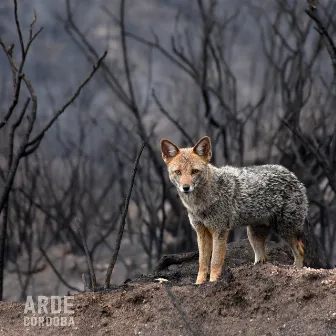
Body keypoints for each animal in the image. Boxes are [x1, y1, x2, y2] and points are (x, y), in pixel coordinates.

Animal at [160, 135, 328, 284]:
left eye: (194, 171)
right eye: (178, 172)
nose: (185, 188)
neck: (200, 204)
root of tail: (294, 176)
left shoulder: (220, 231)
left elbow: (215, 262)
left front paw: (213, 282)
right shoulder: (201, 232)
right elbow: (202, 263)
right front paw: (199, 284)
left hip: (284, 230)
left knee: (300, 249)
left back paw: (296, 270)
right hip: (253, 236)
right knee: (263, 258)